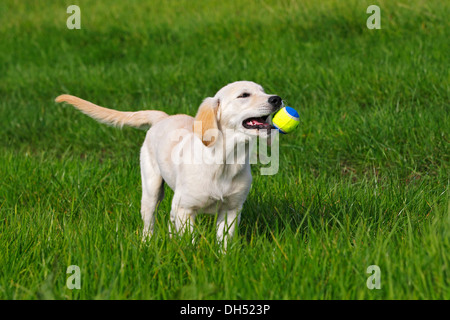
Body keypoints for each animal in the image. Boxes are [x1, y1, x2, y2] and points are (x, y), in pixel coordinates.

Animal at [55, 81, 282, 249]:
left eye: (263, 91)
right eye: (244, 95)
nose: (277, 98)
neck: (226, 160)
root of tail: (163, 117)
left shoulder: (231, 209)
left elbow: (224, 241)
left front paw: (223, 259)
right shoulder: (185, 209)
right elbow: (190, 242)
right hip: (151, 190)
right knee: (149, 223)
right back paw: (147, 244)